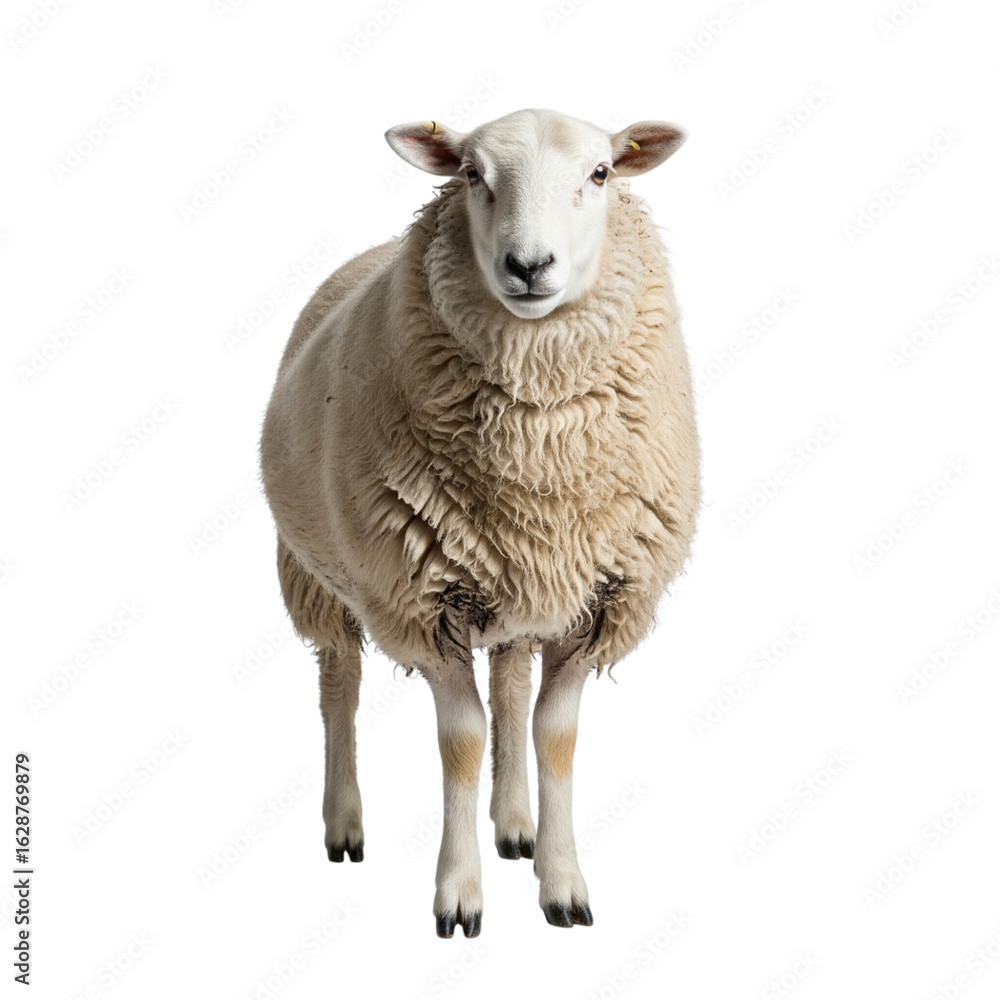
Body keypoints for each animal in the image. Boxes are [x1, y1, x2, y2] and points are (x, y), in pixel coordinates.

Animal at [259, 108, 700, 937]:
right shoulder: (422, 604)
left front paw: (562, 884)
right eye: (471, 174)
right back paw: (344, 824)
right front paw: (458, 895)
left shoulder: (595, 598)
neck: (540, 453)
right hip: (315, 574)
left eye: (600, 173)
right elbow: (461, 742)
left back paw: (515, 824)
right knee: (339, 688)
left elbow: (552, 736)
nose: (529, 265)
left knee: (510, 688)